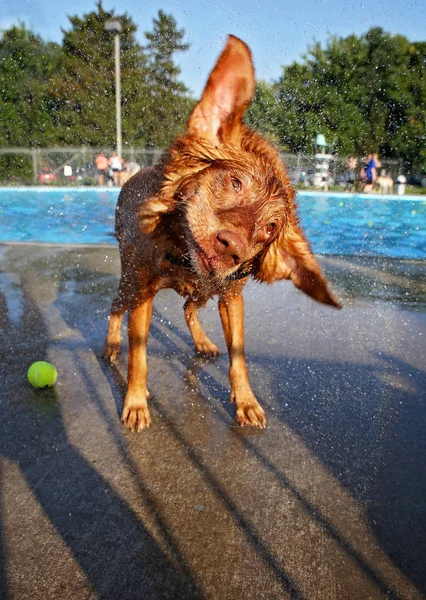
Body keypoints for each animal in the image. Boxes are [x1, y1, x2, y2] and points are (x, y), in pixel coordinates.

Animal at [102, 35, 340, 432]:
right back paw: (111, 344)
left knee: (187, 307)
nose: (231, 248)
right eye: (235, 182)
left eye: (270, 228)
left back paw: (201, 342)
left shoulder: (231, 296)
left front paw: (246, 401)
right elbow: (139, 356)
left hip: (201, 291)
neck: (182, 255)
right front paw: (135, 402)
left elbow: (239, 355)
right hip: (129, 280)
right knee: (115, 306)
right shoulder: (145, 293)